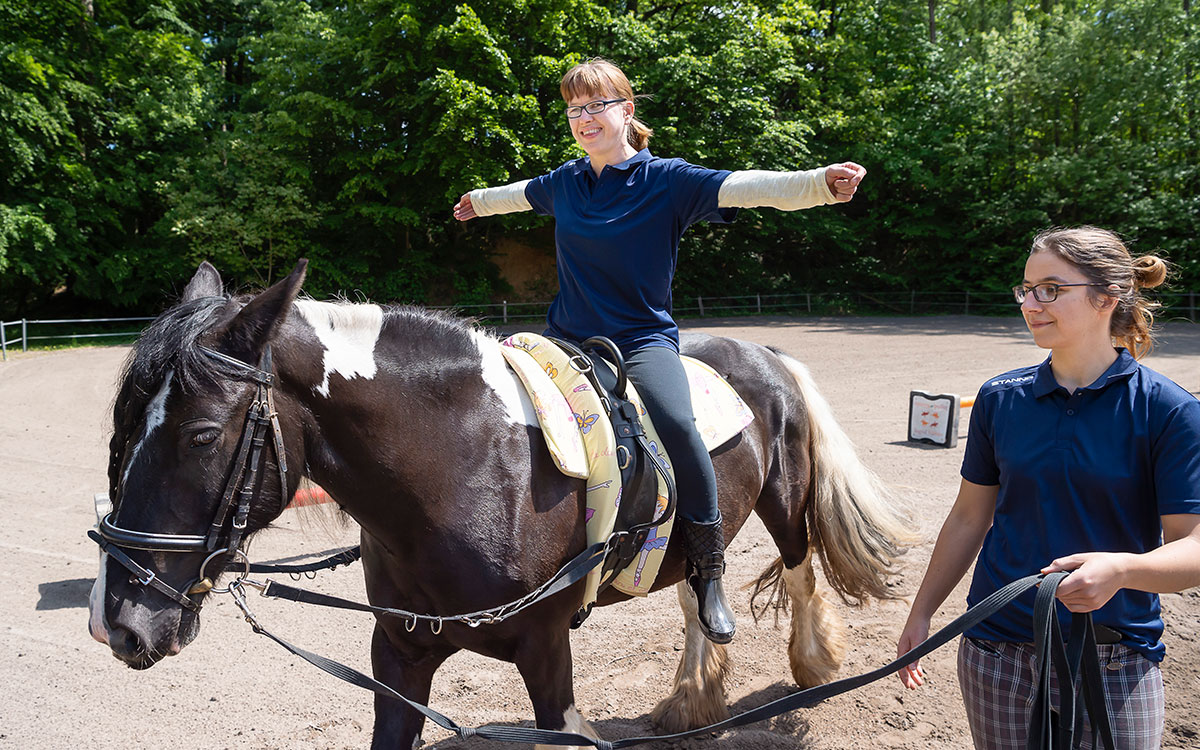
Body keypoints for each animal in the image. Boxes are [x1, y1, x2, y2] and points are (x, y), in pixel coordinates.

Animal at [87, 259, 907, 748]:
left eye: (200, 435)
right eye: (121, 428)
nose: (114, 623)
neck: (465, 472)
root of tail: (764, 354)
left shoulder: (547, 657)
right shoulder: (398, 657)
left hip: (784, 502)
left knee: (798, 571)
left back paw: (813, 666)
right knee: (697, 591)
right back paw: (692, 699)